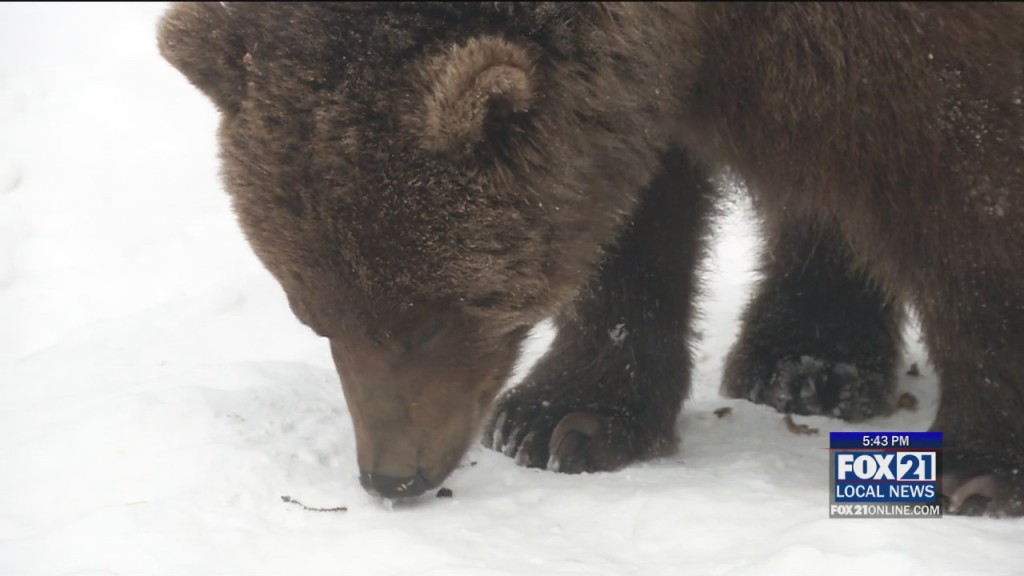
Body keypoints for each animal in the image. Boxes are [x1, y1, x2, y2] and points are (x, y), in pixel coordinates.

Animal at [158, 2, 1024, 515]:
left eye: (435, 316)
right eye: (313, 315)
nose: (393, 475)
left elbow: (969, 182)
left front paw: (981, 468)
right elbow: (628, 211)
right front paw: (563, 417)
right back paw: (804, 361)